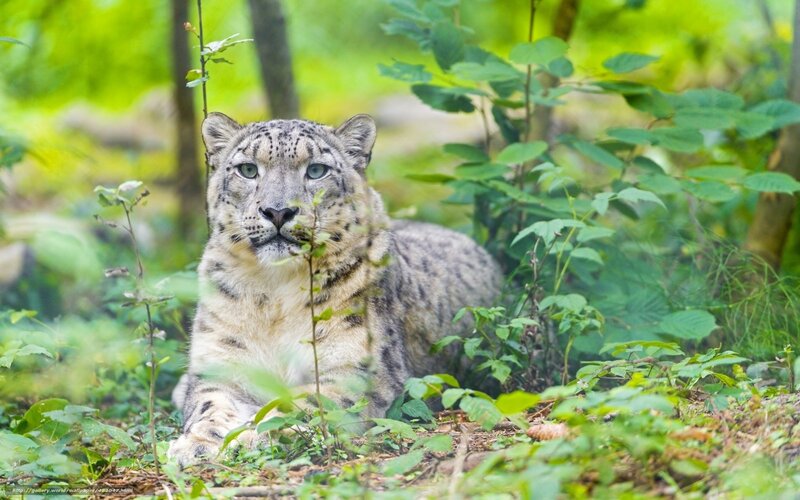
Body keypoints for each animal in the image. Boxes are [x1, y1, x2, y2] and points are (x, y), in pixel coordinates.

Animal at [167, 112, 503, 467]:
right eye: (247, 169)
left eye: (316, 170)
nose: (278, 211)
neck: (275, 293)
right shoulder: (223, 366)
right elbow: (210, 405)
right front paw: (196, 445)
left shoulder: (354, 371)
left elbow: (300, 405)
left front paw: (251, 437)